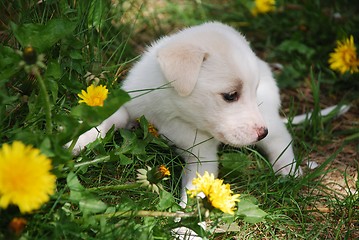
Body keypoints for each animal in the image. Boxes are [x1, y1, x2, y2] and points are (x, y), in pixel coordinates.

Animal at [69, 22, 302, 204]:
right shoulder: (132, 104)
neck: (174, 113)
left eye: (252, 91)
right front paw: (79, 140)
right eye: (230, 95)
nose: (261, 132)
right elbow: (110, 118)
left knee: (281, 139)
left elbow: (195, 195)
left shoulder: (202, 157)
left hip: (269, 117)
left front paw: (187, 227)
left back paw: (288, 170)